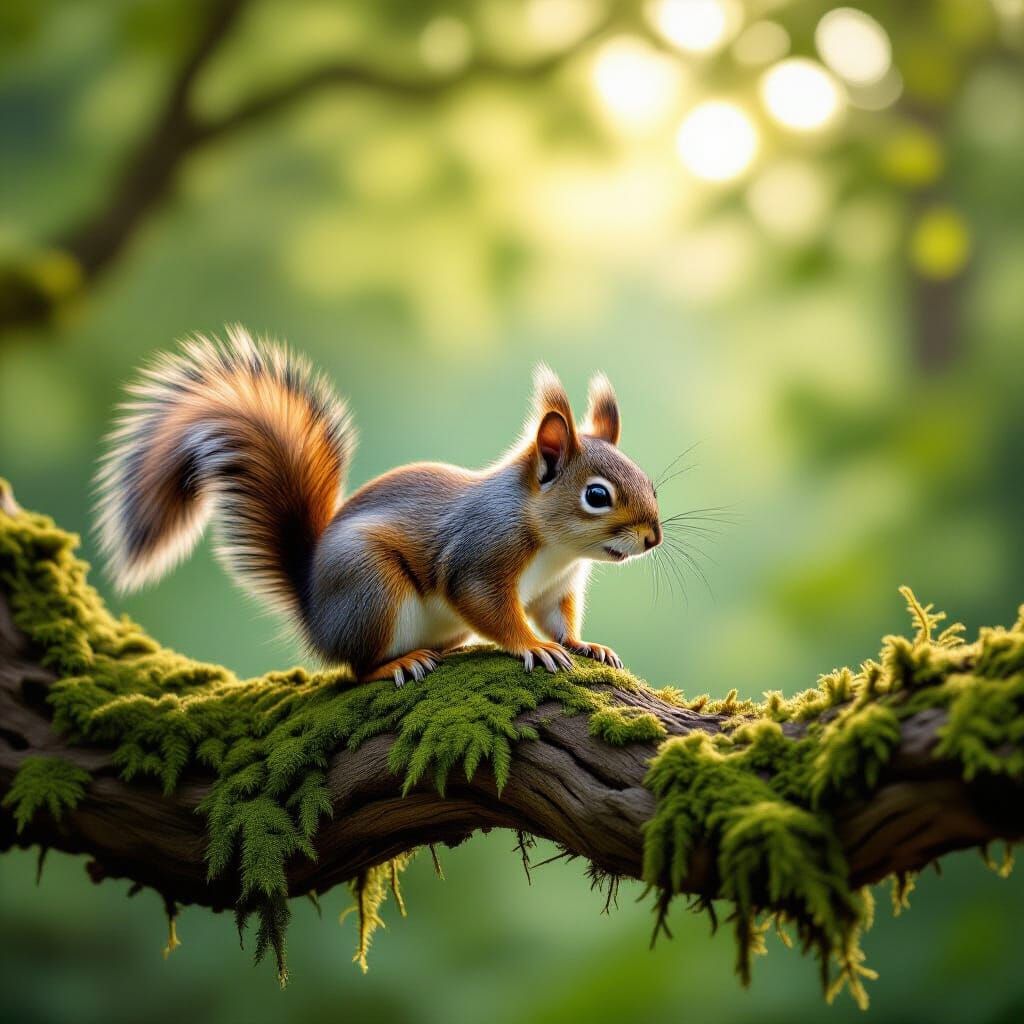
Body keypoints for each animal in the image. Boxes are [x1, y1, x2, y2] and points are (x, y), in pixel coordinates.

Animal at [95, 327, 663, 686]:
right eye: (597, 495)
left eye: (651, 483)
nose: (653, 537)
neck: (556, 548)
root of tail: (315, 613)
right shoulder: (479, 555)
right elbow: (491, 607)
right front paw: (533, 646)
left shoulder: (555, 588)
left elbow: (558, 618)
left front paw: (586, 646)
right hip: (371, 590)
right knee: (354, 669)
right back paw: (396, 665)